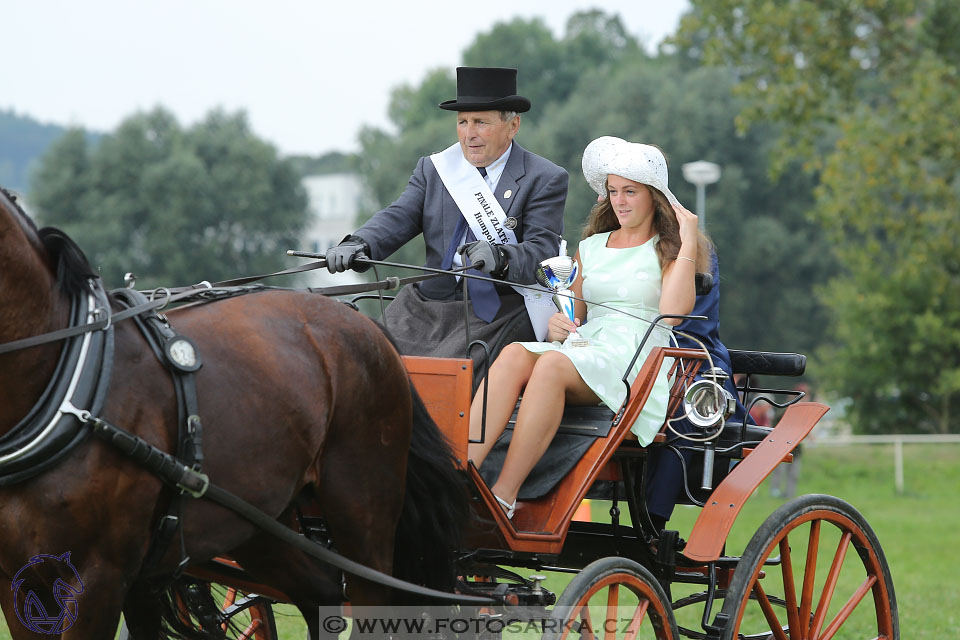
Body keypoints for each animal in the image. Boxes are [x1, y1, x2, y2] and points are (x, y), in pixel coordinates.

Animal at [0, 186, 464, 640]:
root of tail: (365, 326)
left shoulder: (100, 577)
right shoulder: (24, 579)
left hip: (362, 508)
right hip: (258, 519)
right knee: (322, 593)